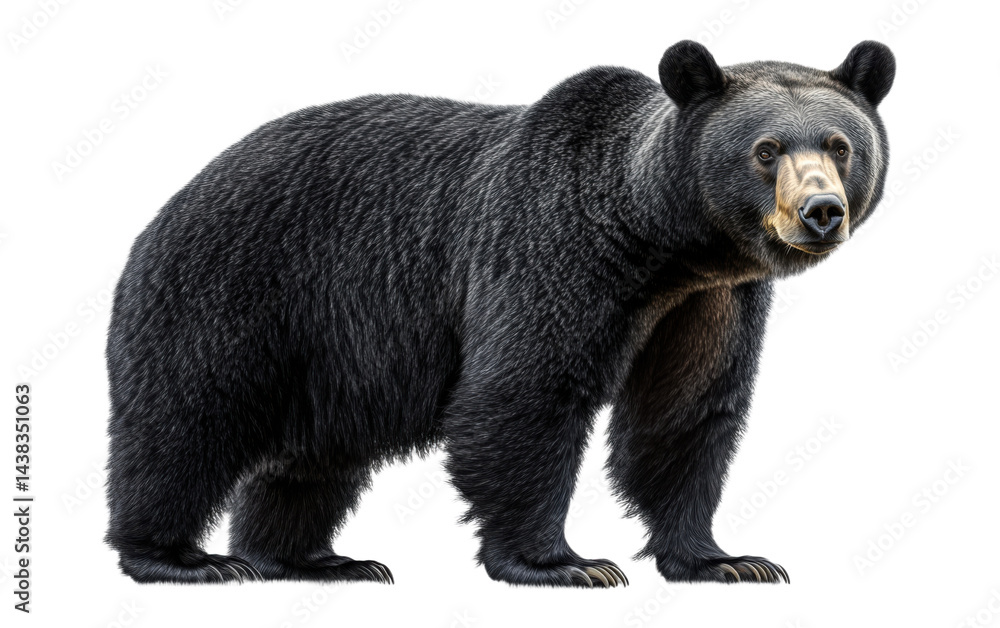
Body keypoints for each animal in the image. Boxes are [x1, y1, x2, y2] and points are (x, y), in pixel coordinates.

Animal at [105, 39, 894, 587]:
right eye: (766, 150)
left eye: (840, 144)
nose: (821, 212)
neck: (660, 243)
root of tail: (169, 203)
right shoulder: (548, 250)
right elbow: (524, 394)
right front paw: (562, 562)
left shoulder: (708, 303)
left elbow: (685, 414)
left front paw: (724, 559)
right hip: (235, 292)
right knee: (185, 420)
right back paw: (181, 557)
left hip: (330, 356)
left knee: (312, 457)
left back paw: (313, 560)